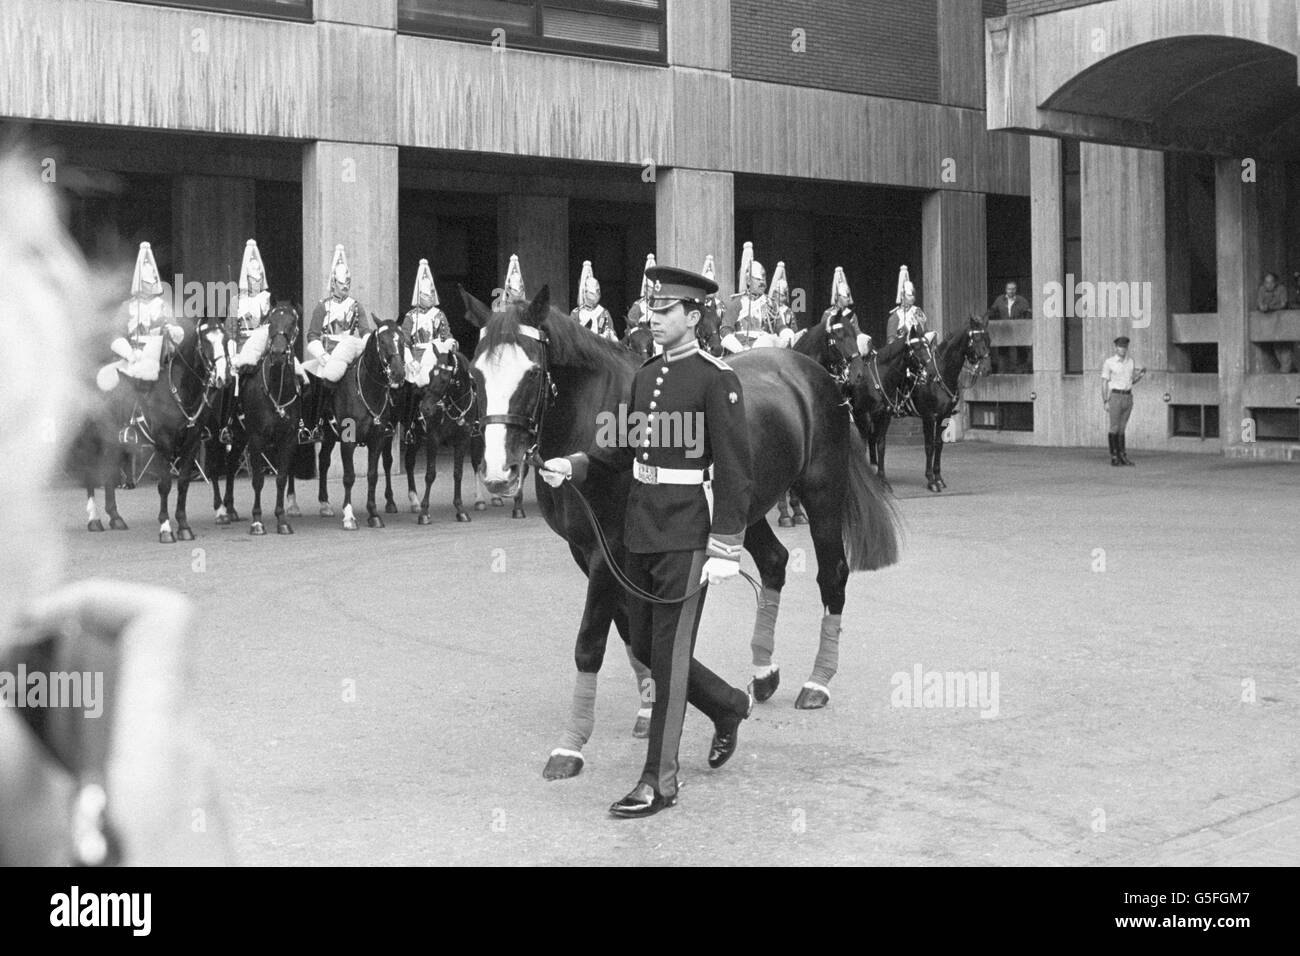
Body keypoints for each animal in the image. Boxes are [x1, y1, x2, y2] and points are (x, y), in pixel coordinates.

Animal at [209, 303, 308, 535]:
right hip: (216, 437)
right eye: (270, 322)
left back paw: (231, 509)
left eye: (293, 322)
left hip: (239, 437)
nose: (278, 353)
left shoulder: (287, 439)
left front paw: (282, 520)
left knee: (230, 465)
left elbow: (281, 478)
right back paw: (220, 511)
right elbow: (258, 480)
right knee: (214, 467)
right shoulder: (257, 439)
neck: (276, 390)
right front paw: (257, 521)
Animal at [462, 287, 899, 780]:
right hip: (740, 511)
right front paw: (652, 704)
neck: (594, 419)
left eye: (534, 372)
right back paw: (764, 673)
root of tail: (811, 374)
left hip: (822, 495)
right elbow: (632, 629)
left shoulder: (606, 550)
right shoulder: (590, 551)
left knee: (833, 575)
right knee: (775, 563)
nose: (499, 474)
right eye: (475, 374)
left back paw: (817, 682)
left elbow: (593, 642)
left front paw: (571, 747)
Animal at [857, 317, 987, 494]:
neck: (940, 376)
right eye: (976, 337)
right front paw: (931, 480)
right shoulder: (929, 417)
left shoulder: (943, 416)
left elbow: (939, 445)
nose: (985, 362)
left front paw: (939, 478)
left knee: (872, 439)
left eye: (986, 336)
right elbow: (929, 446)